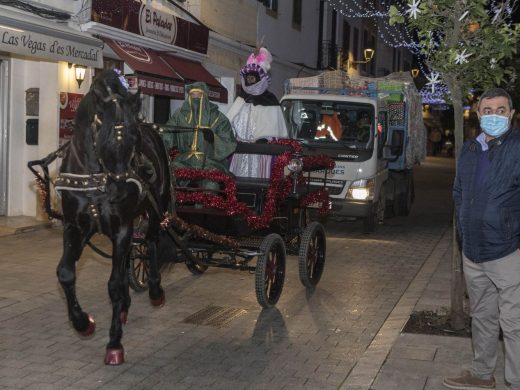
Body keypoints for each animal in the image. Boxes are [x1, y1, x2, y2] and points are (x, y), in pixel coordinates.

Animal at [55, 70, 172, 366]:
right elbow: (65, 273)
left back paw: (155, 290)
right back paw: (125, 307)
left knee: (152, 241)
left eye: (134, 137)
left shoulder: (121, 227)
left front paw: (114, 343)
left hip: (155, 208)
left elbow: (115, 284)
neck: (96, 179)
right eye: (102, 129)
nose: (119, 189)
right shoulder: (75, 227)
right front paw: (82, 323)